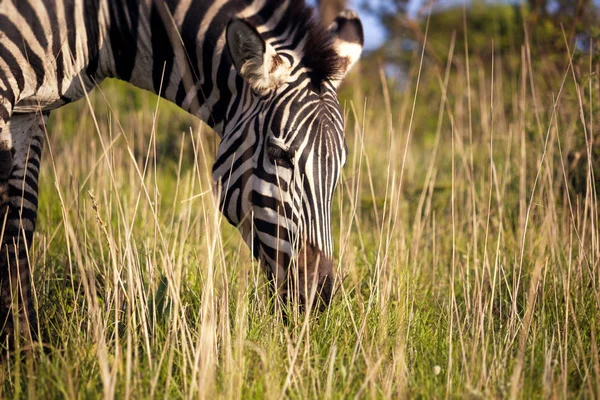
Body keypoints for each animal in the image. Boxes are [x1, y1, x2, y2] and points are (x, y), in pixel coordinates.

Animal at [0, 0, 360, 342]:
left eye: (340, 166)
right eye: (278, 154)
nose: (318, 298)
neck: (108, 20)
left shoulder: (31, 112)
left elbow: (19, 221)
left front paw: (24, 348)